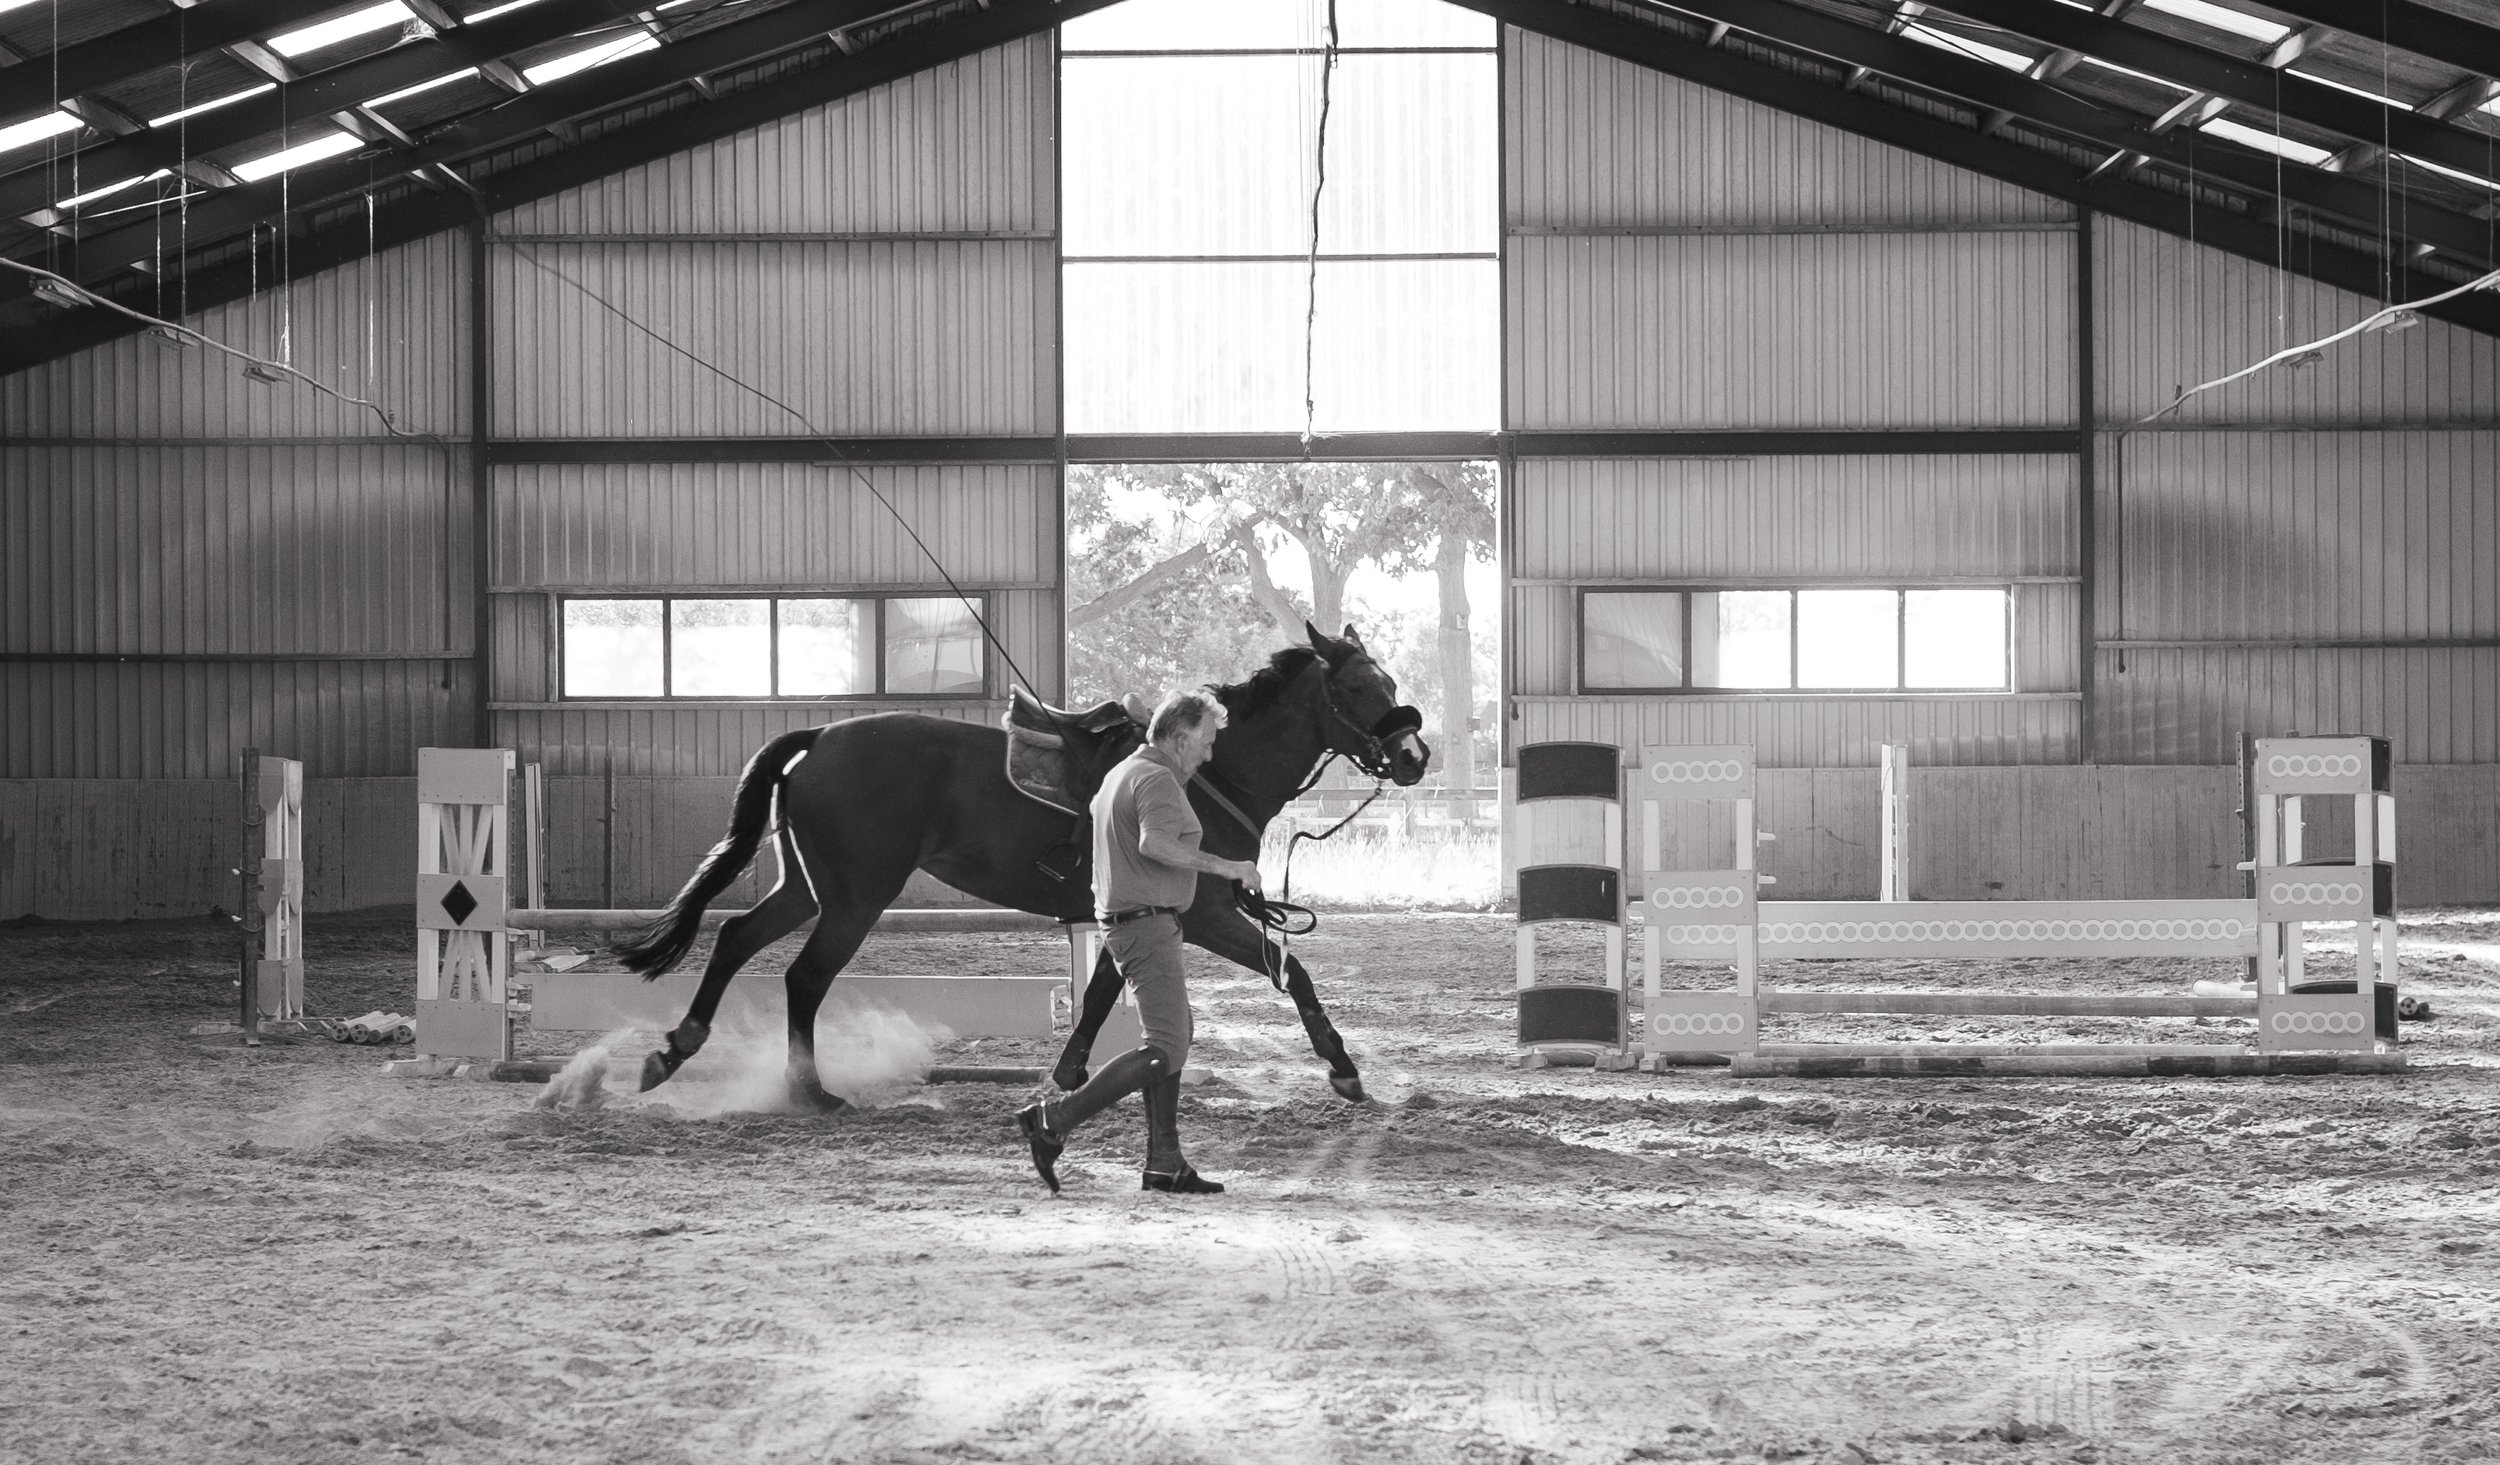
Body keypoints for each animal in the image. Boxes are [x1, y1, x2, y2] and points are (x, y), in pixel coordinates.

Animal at [615, 623, 1432, 1111]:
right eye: (1357, 687)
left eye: (1390, 682)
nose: (1415, 757)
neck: (1207, 770)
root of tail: (821, 738)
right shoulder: (1203, 915)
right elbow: (1294, 972)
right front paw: (1344, 1069)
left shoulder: (1134, 915)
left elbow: (1099, 998)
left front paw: (1067, 1079)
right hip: (855, 896)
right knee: (804, 976)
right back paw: (811, 1092)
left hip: (812, 888)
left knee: (735, 939)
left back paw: (675, 1052)